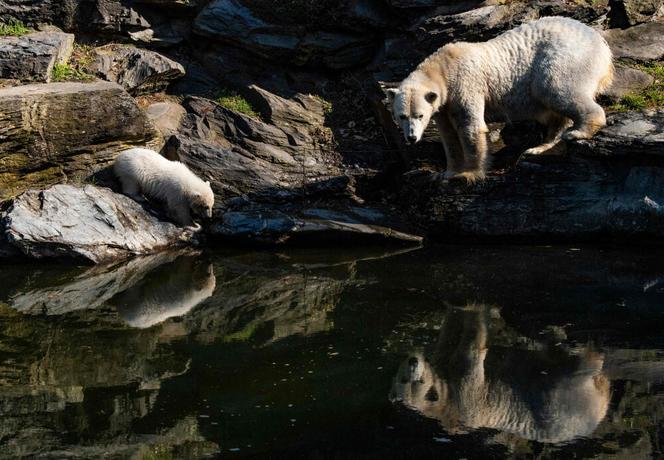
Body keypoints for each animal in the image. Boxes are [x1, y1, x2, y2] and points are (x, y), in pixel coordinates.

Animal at [390, 18, 612, 183]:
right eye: (402, 116)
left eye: (419, 115)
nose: (411, 137)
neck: (444, 67)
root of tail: (603, 45)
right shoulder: (443, 106)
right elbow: (448, 136)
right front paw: (448, 172)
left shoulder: (466, 83)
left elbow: (471, 127)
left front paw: (468, 173)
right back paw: (539, 147)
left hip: (564, 57)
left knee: (555, 89)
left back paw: (578, 132)